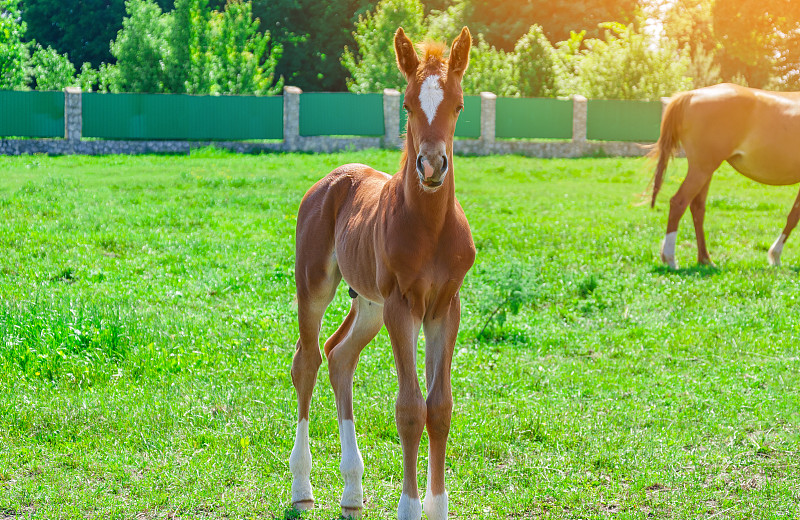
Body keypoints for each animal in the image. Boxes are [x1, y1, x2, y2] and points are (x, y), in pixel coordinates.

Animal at [290, 27, 472, 520]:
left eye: (458, 105)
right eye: (407, 104)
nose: (431, 165)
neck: (429, 226)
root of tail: (332, 178)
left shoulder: (444, 307)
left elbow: (439, 407)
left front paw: (437, 506)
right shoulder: (402, 305)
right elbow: (409, 408)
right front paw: (410, 507)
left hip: (368, 303)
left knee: (339, 356)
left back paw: (352, 490)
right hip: (317, 286)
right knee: (308, 361)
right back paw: (302, 485)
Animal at [648, 82, 800, 268]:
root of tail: (690, 95)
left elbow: (793, 216)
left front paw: (775, 256)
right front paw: (775, 255)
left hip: (704, 171)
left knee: (697, 208)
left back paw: (705, 259)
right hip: (701, 170)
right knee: (679, 202)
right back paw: (670, 258)